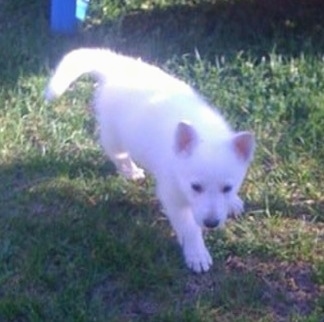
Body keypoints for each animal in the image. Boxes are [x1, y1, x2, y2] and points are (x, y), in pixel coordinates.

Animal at [45, 49, 254, 272]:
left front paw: (233, 201)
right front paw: (197, 254)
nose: (212, 223)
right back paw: (131, 171)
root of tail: (115, 65)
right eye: (195, 187)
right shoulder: (172, 195)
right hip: (114, 134)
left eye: (227, 188)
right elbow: (189, 227)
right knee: (117, 153)